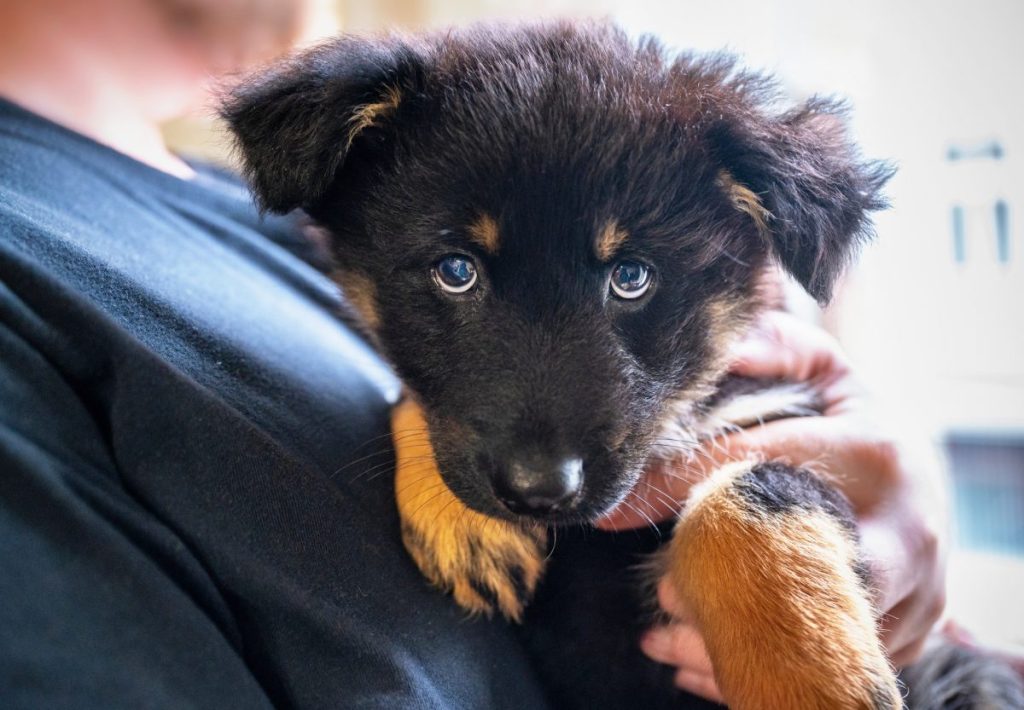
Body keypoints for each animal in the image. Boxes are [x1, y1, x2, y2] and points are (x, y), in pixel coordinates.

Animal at [220, 22, 1019, 708]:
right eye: (456, 271)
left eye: (632, 277)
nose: (540, 491)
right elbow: (417, 396)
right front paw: (456, 514)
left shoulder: (780, 416)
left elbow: (747, 499)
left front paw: (813, 685)